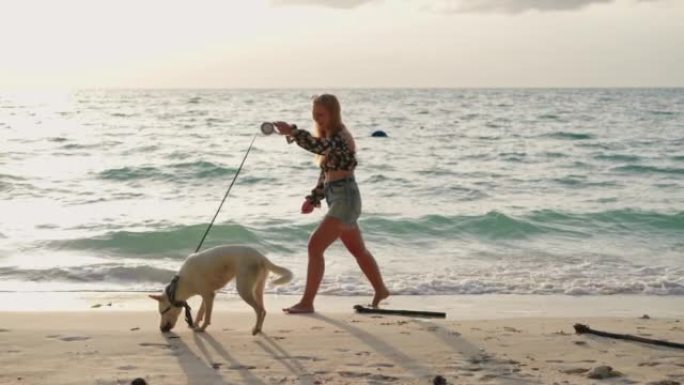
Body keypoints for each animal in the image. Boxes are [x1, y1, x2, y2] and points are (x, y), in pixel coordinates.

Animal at [149, 246, 292, 332]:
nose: (161, 329)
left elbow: (207, 315)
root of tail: (260, 256)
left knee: (259, 310)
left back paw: (256, 329)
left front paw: (201, 328)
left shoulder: (209, 295)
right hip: (257, 289)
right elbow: (201, 311)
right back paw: (259, 329)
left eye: (163, 312)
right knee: (264, 310)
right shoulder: (207, 295)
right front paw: (196, 323)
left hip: (244, 290)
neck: (179, 285)